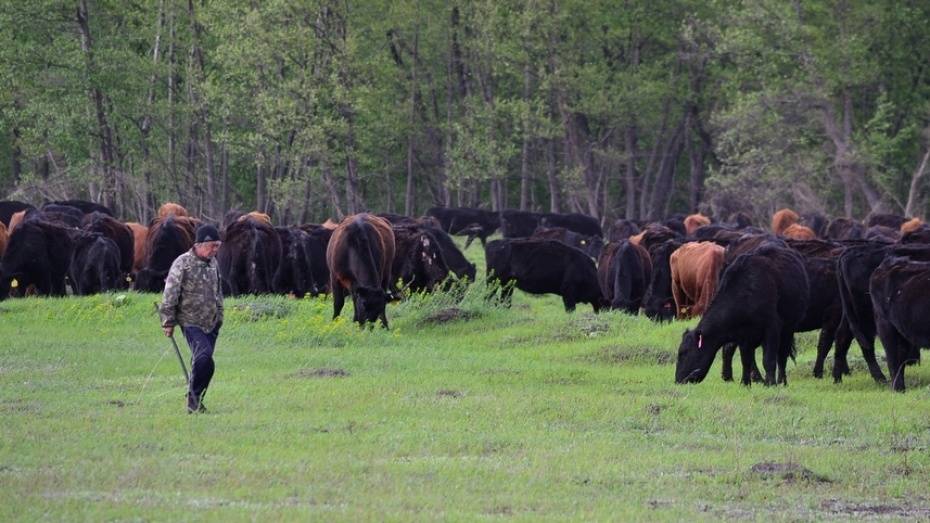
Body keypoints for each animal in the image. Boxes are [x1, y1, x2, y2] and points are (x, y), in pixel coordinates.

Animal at [672, 244, 808, 386]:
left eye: (683, 352)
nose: (678, 380)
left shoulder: (772, 327)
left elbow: (768, 359)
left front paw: (770, 384)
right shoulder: (743, 336)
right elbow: (746, 360)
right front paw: (745, 383)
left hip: (789, 328)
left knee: (782, 356)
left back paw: (782, 382)